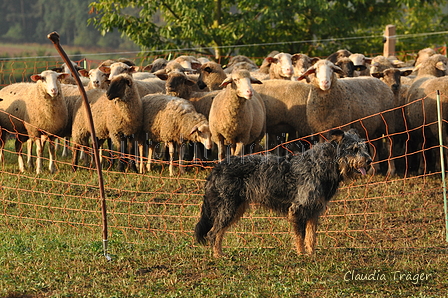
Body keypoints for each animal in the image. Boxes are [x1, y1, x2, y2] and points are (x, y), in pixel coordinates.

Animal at [194, 129, 372, 258]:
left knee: (216, 233)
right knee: (213, 233)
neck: (321, 165)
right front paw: (302, 255)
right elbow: (300, 236)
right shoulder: (298, 210)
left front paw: (311, 254)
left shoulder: (314, 211)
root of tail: (216, 168)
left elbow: (311, 237)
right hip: (228, 208)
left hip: (236, 208)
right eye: (354, 149)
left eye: (364, 148)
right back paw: (218, 256)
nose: (369, 161)